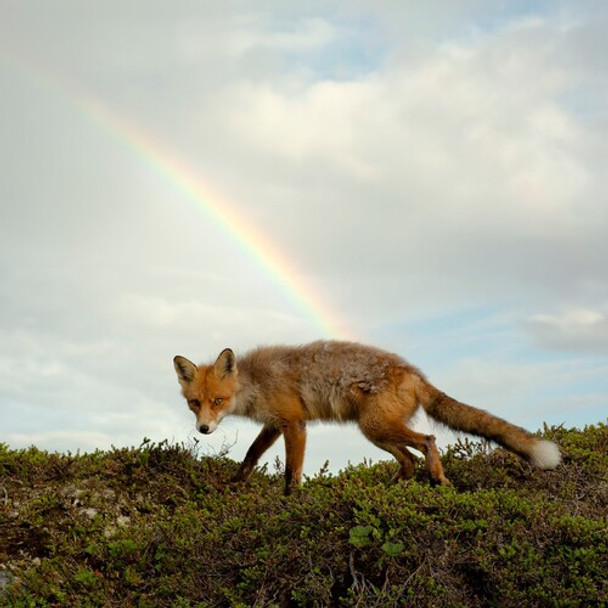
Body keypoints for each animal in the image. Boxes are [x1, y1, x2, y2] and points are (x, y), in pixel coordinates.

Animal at [172, 342, 560, 494]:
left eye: (218, 401)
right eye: (195, 403)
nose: (204, 429)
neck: (256, 383)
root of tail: (414, 373)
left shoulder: (294, 424)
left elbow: (290, 473)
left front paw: (290, 501)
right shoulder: (274, 424)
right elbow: (250, 457)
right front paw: (234, 485)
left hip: (376, 427)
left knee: (428, 442)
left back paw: (438, 479)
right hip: (377, 434)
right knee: (408, 461)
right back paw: (387, 489)